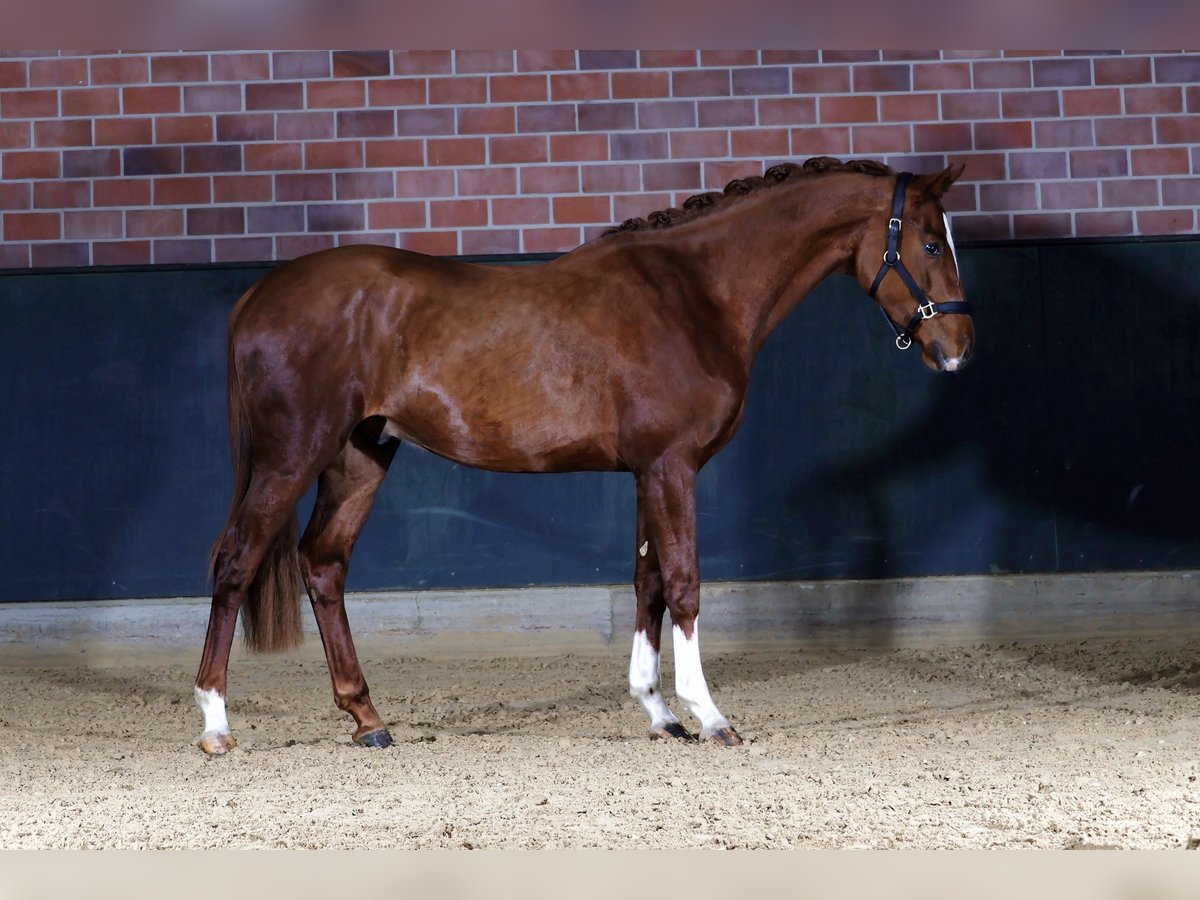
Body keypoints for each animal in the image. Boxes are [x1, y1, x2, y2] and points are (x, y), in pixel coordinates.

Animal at [194, 156, 974, 754]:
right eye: (932, 245)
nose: (957, 350)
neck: (693, 294)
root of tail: (259, 293)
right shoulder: (671, 466)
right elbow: (684, 582)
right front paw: (710, 716)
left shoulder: (650, 471)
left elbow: (648, 582)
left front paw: (659, 712)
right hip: (291, 457)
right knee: (235, 563)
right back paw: (215, 724)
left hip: (360, 457)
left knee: (323, 564)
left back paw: (368, 719)